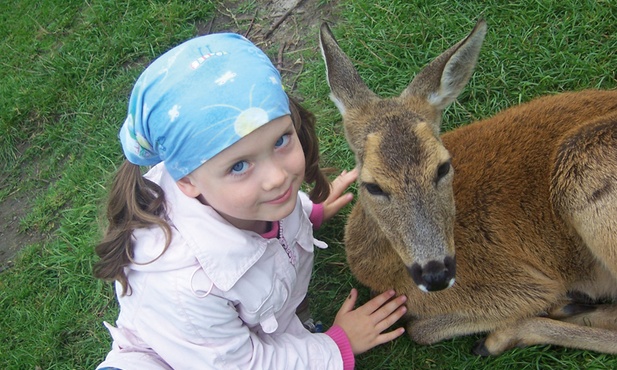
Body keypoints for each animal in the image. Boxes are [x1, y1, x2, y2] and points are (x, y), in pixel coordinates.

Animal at [320, 19, 616, 356]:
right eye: (372, 185)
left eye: (443, 166)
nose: (436, 274)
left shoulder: (522, 287)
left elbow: (419, 330)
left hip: (582, 170)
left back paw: (504, 336)